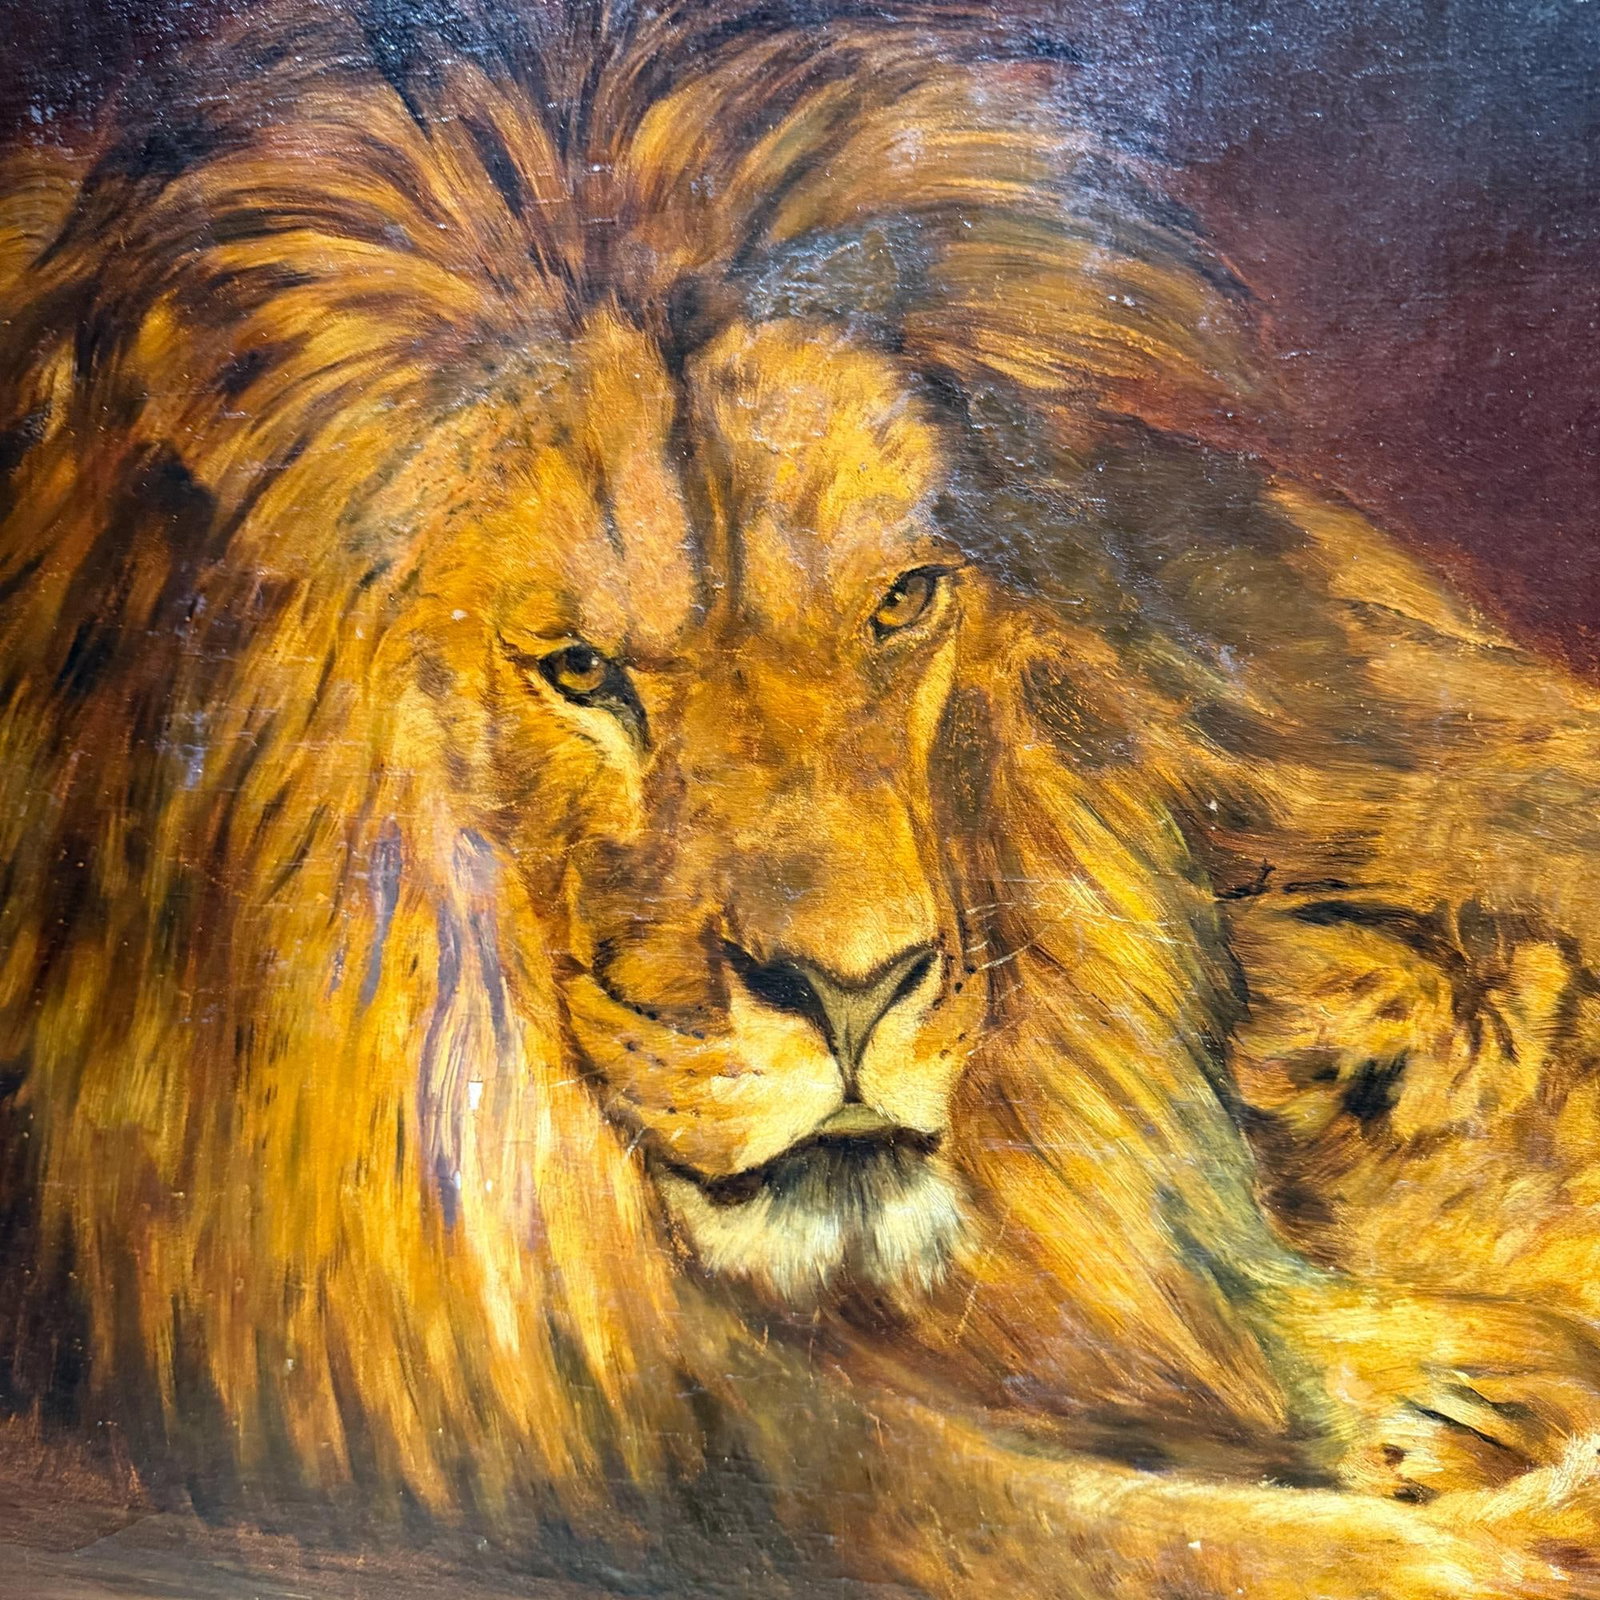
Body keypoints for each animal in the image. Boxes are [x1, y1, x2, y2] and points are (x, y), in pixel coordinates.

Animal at [6, 2, 1600, 1596]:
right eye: (578, 670)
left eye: (901, 603)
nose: (856, 993)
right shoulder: (588, 1429)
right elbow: (1038, 1513)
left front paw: (1449, 1389)